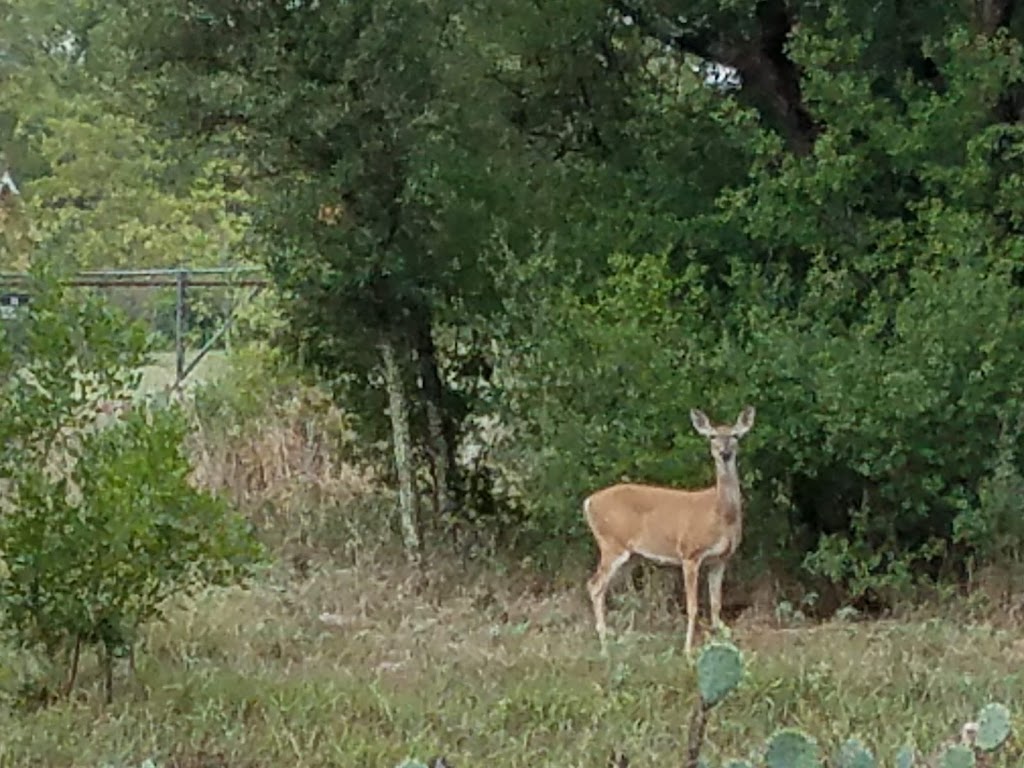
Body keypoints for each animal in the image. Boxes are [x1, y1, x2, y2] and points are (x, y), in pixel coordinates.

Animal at [581, 409, 757, 655]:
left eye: (735, 436)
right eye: (712, 436)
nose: (724, 453)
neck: (719, 513)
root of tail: (588, 502)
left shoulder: (720, 559)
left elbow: (716, 605)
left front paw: (720, 644)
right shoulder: (690, 553)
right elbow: (692, 606)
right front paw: (688, 651)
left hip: (630, 556)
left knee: (615, 591)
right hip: (611, 543)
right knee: (594, 586)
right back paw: (605, 649)